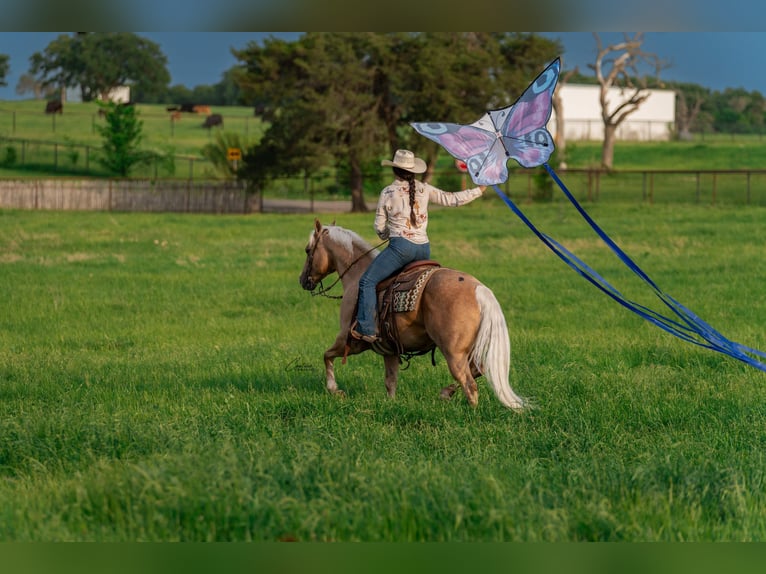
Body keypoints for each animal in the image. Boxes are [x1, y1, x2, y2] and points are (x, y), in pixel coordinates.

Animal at [298, 219, 526, 410]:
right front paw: (391, 404)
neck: (356, 277)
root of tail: (479, 289)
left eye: (308, 250)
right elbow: (390, 381)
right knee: (478, 370)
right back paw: (446, 393)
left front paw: (334, 390)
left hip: (453, 353)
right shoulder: (390, 351)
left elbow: (326, 355)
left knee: (469, 383)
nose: (303, 280)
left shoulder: (350, 340)